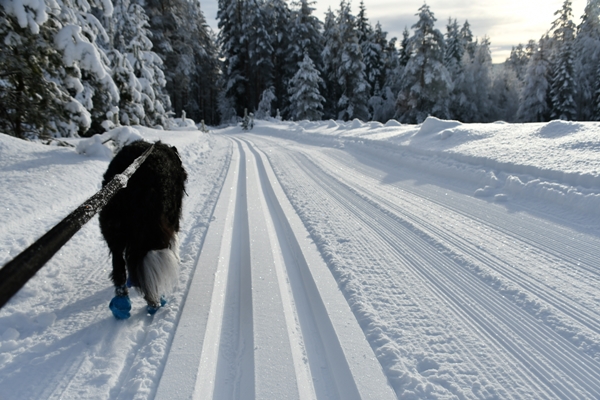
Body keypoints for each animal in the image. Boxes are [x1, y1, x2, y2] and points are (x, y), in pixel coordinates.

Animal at [98, 141, 188, 318]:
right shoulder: (172, 221)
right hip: (153, 228)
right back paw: (155, 302)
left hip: (114, 230)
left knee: (120, 268)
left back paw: (121, 305)